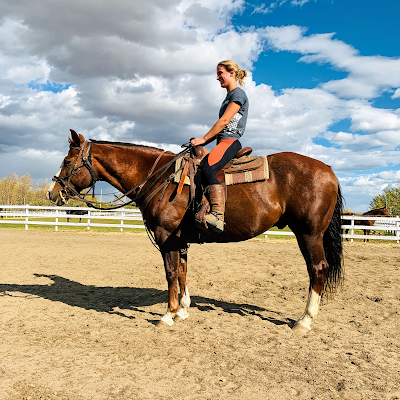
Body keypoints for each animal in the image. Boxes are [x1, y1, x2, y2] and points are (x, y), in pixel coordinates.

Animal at [45, 130, 342, 332]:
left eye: (67, 161)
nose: (52, 192)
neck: (161, 178)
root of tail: (328, 170)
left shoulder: (166, 237)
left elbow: (170, 273)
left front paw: (168, 315)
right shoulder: (180, 239)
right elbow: (183, 271)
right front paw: (183, 311)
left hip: (309, 234)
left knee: (318, 268)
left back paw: (304, 320)